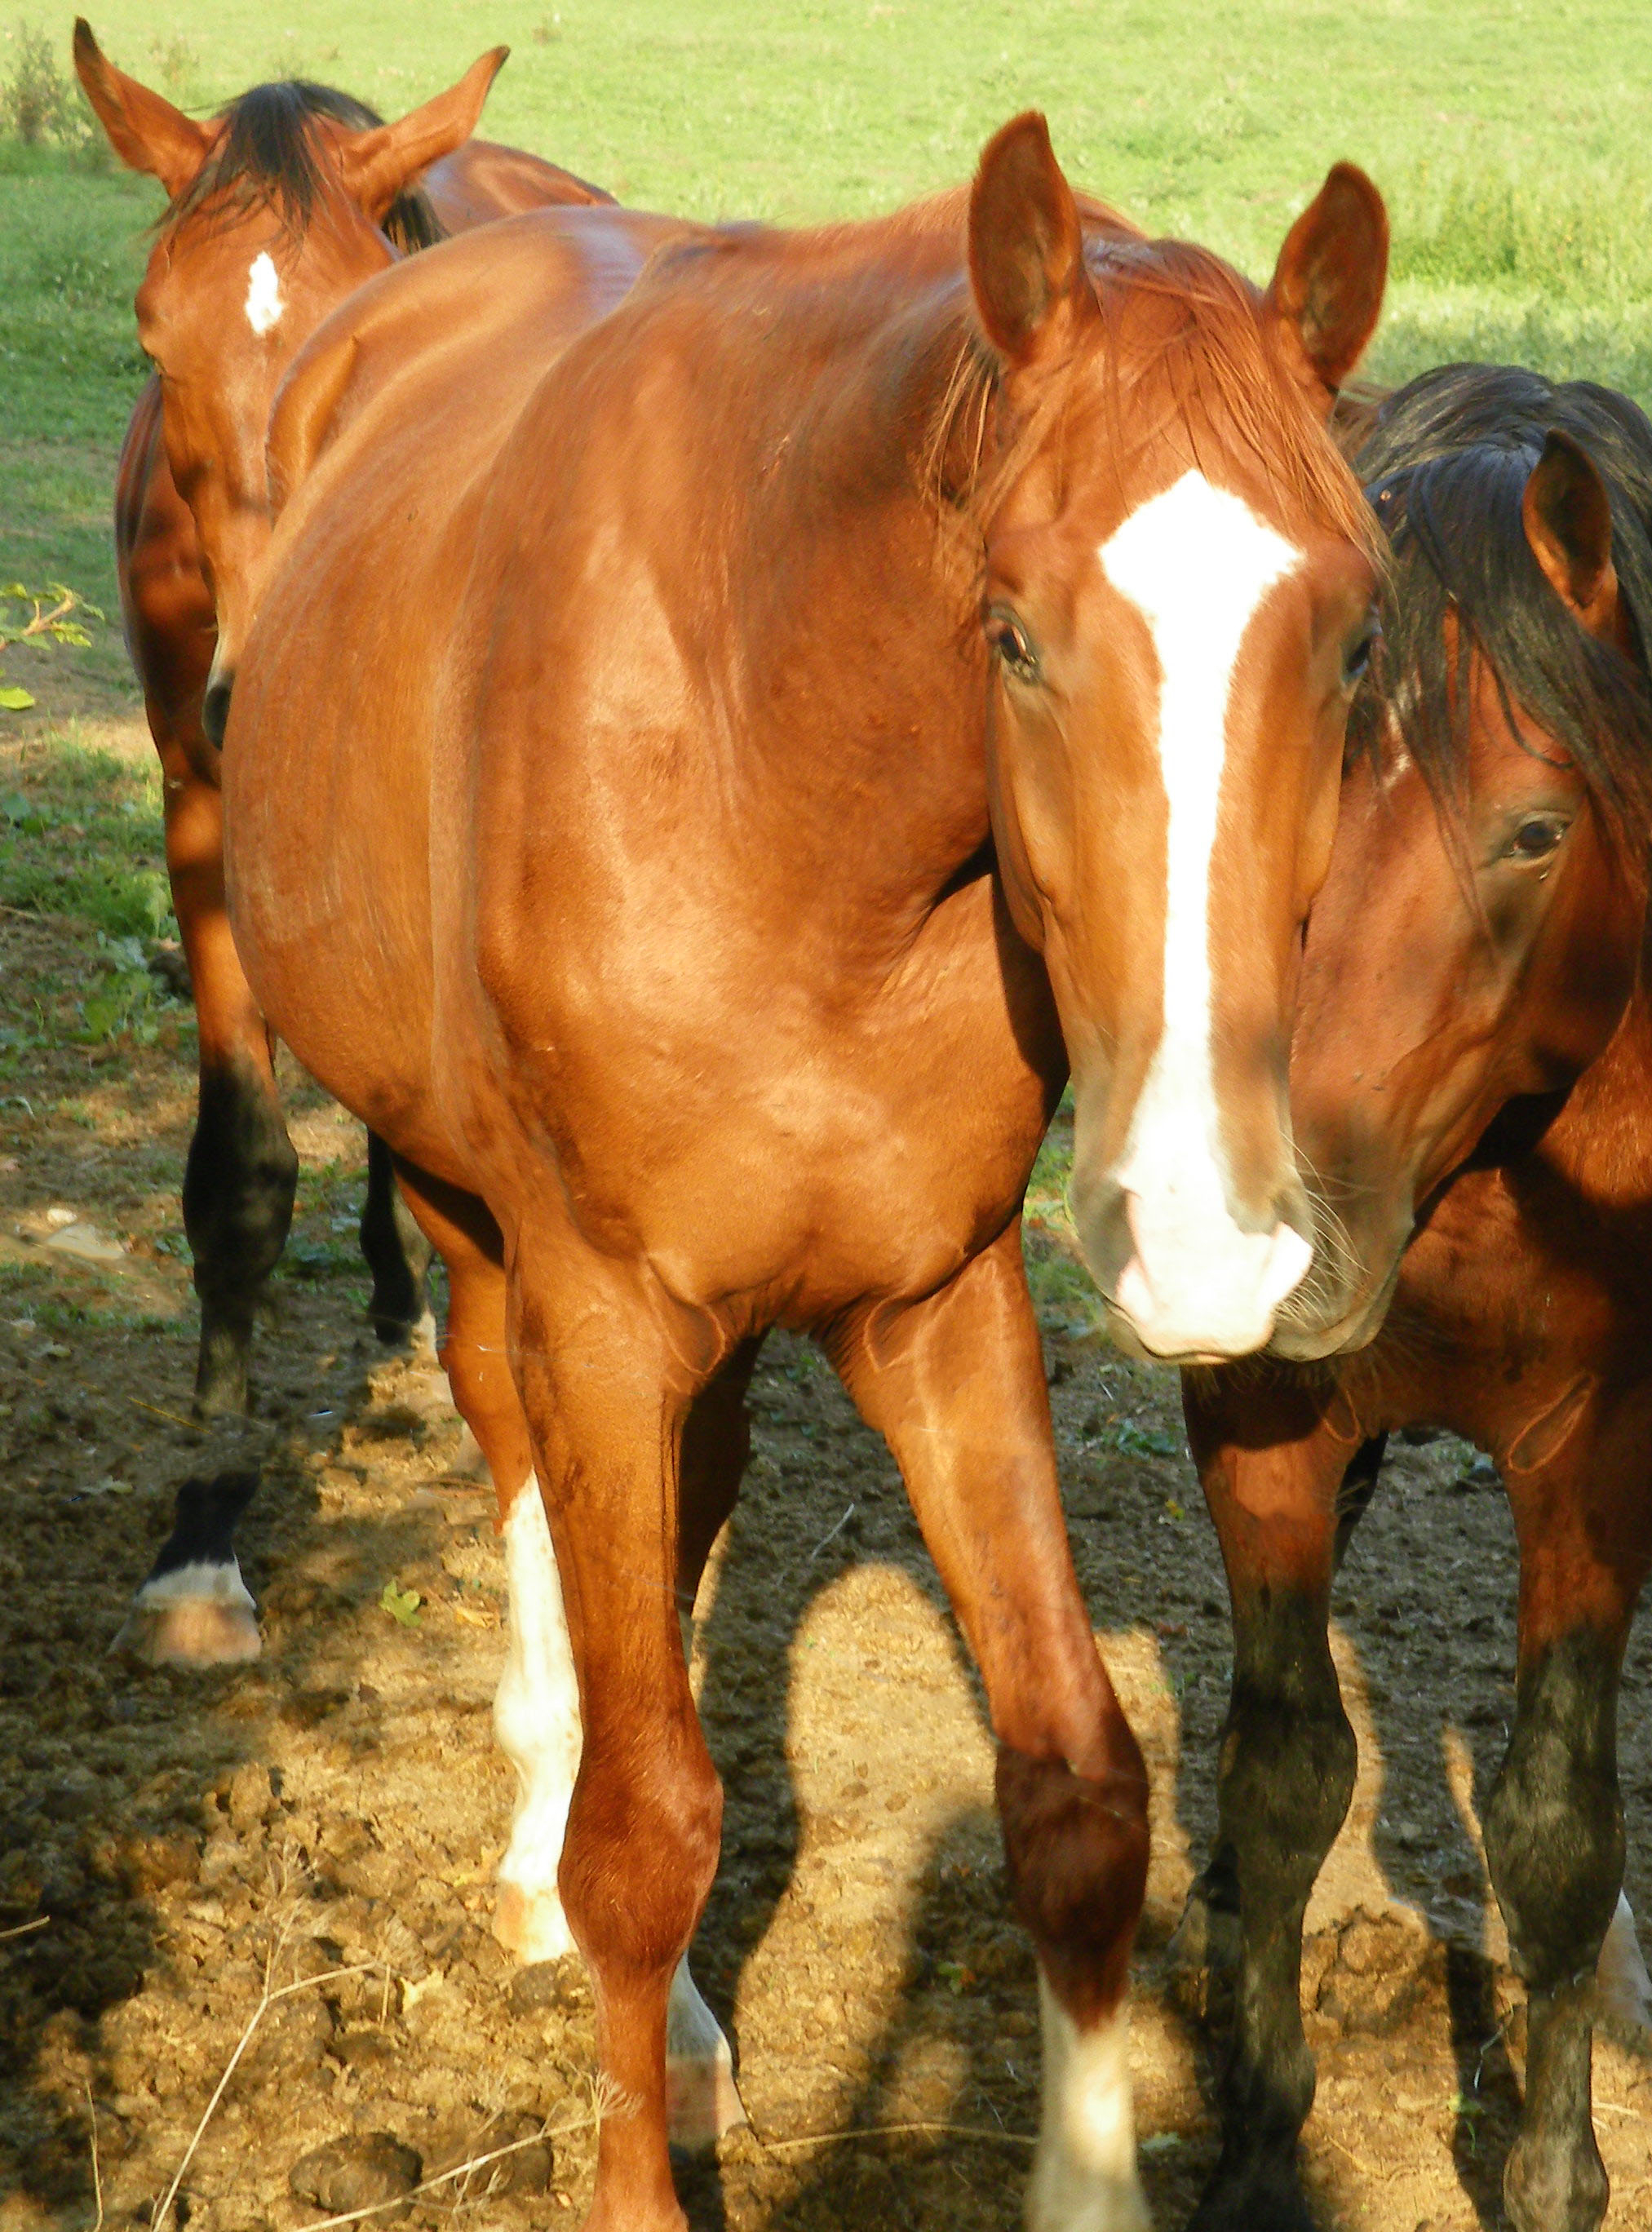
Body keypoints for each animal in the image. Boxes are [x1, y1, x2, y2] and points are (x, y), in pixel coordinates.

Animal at [213, 126, 1384, 2232]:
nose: (1204, 1235)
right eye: (1011, 632)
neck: (766, 767)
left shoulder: (935, 1300)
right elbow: (643, 1827)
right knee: (519, 1469)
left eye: (1351, 639)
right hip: (475, 1225)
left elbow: (1076, 1786)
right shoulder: (605, 1309)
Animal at [1178, 365, 1652, 2232]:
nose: (1242, 1234)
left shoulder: (1593, 1461)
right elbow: (1286, 1769)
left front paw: (1552, 2169)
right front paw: (1255, 2130)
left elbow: (1553, 1833)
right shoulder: (1260, 1412)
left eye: (1534, 830)